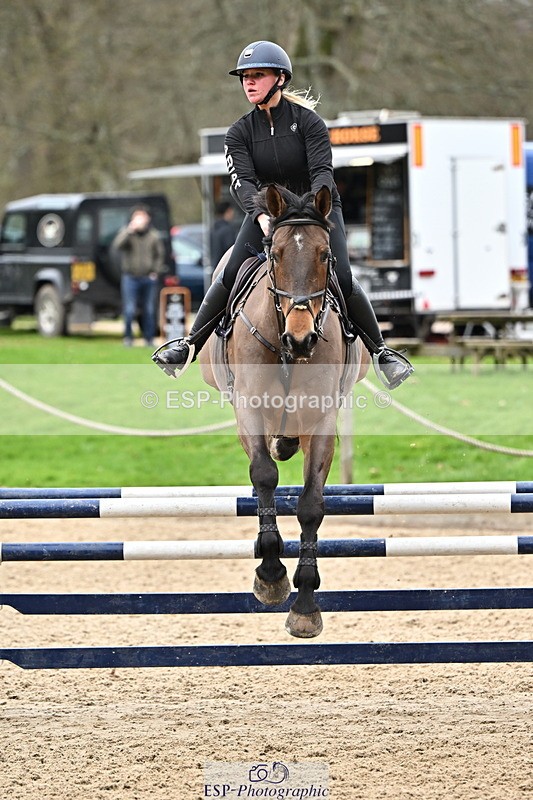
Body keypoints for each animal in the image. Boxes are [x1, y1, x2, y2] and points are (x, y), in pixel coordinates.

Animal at [200, 184, 369, 637]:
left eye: (325, 256)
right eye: (274, 255)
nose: (301, 338)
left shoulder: (323, 420)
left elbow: (311, 504)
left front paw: (305, 605)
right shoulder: (248, 410)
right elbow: (264, 476)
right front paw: (271, 575)